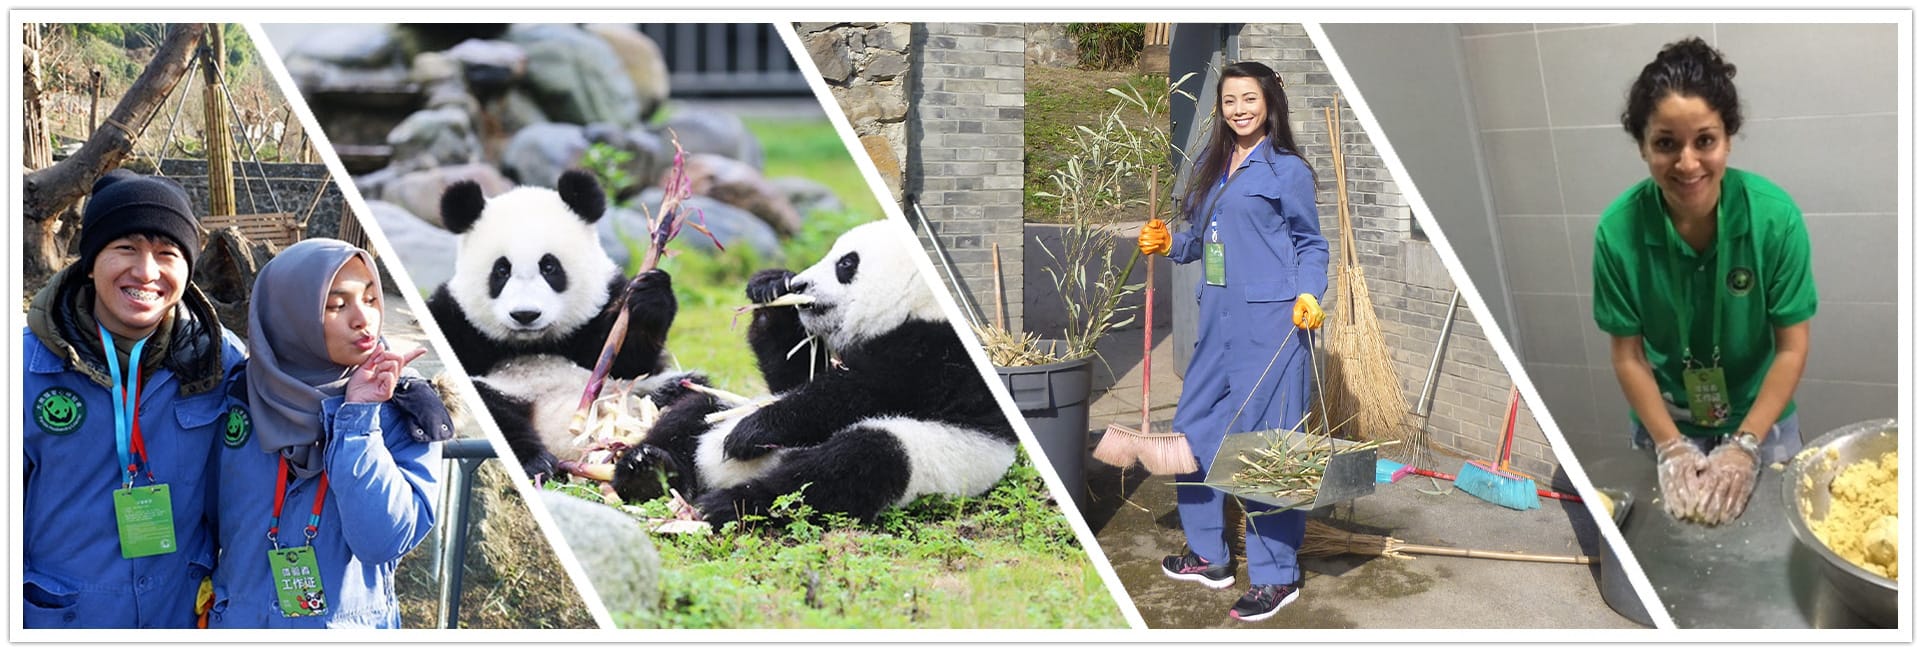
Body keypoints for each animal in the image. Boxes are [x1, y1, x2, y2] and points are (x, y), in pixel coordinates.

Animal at [428, 171, 684, 482]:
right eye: (501, 270)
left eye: (549, 267)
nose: (525, 314)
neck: (534, 344)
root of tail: (569, 448)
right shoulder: (456, 321)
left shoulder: (602, 307)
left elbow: (632, 361)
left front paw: (648, 296)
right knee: (495, 409)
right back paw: (538, 461)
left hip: (643, 394)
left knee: (690, 400)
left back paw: (645, 464)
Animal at [607, 222, 1022, 526]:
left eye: (846, 264)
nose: (800, 285)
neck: (920, 304)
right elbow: (794, 379)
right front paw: (771, 287)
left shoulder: (938, 352)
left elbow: (860, 393)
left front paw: (750, 433)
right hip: (723, 407)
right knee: (692, 410)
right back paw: (648, 470)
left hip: (936, 454)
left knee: (849, 466)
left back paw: (727, 502)